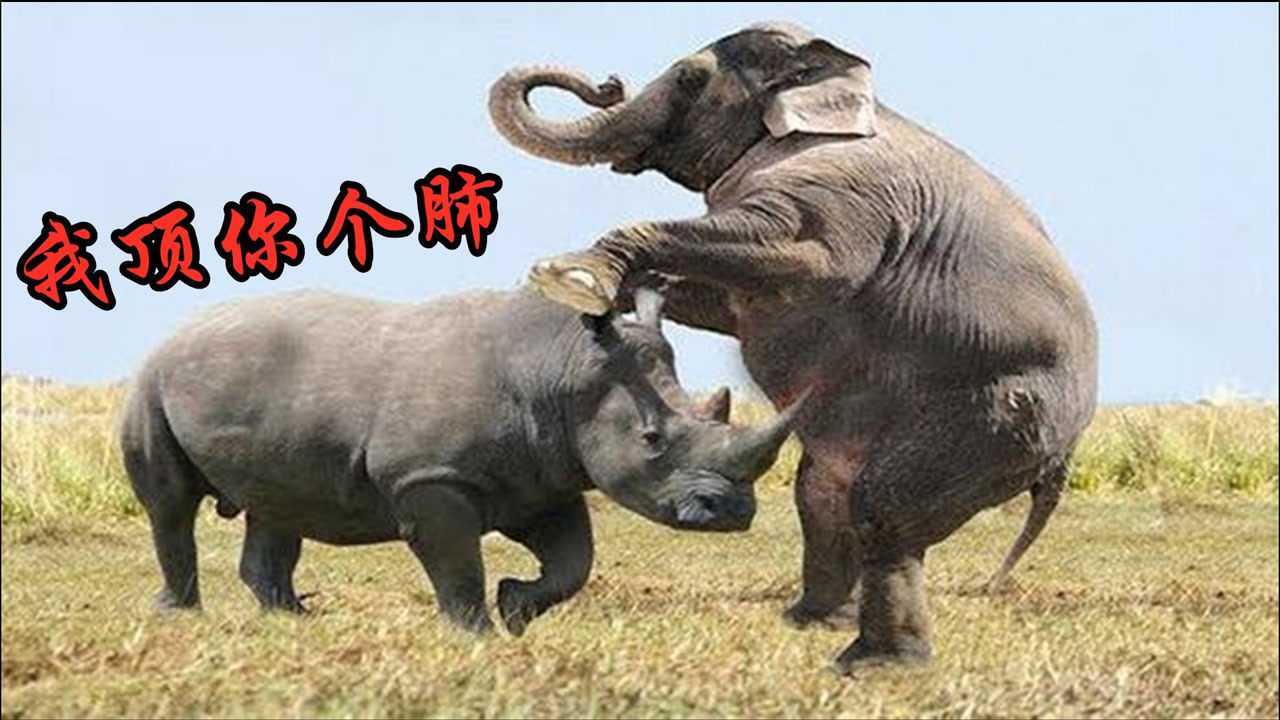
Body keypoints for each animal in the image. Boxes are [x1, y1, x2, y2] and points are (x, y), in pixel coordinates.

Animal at [489, 21, 1098, 669]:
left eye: (689, 78)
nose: (606, 82)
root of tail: (1064, 457)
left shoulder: (841, 197)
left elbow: (799, 255)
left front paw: (571, 276)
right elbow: (722, 302)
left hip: (998, 416)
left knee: (885, 509)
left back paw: (876, 665)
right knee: (823, 495)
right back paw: (812, 623)